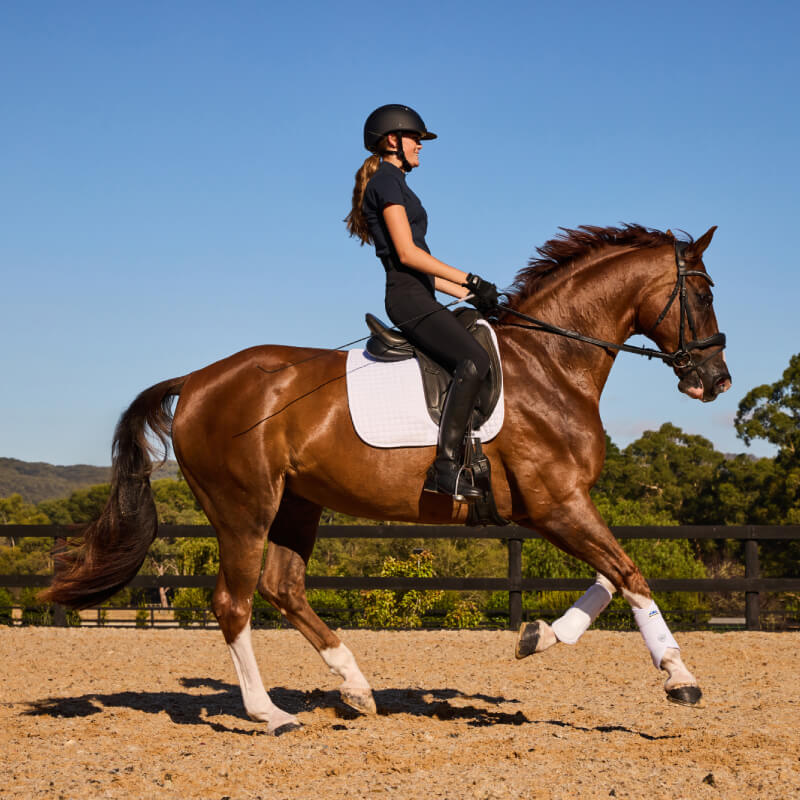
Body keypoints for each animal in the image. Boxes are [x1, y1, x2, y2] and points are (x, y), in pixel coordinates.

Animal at [42, 223, 731, 734]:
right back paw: (272, 714)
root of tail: (196, 380)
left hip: (296, 504)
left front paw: (538, 635)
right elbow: (630, 573)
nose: (716, 381)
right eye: (703, 294)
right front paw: (680, 678)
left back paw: (357, 687)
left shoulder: (557, 507)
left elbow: (614, 573)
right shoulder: (555, 504)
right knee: (233, 603)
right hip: (245, 508)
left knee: (282, 586)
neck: (552, 364)